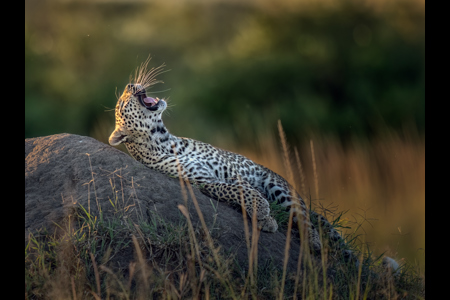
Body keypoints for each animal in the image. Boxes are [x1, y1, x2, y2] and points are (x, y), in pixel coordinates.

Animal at [109, 58, 352, 255]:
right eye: (121, 103)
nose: (130, 85)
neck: (166, 141)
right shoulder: (201, 181)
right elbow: (232, 191)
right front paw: (264, 214)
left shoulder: (231, 171)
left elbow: (244, 188)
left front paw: (264, 215)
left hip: (279, 186)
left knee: (303, 217)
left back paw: (313, 242)